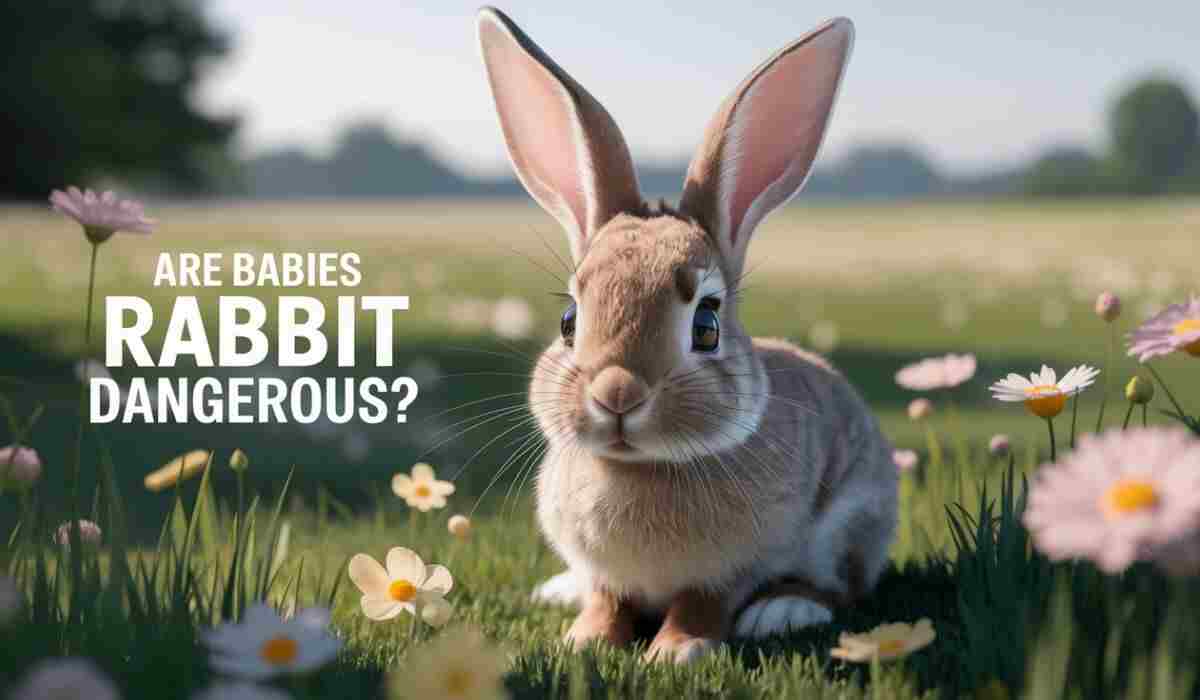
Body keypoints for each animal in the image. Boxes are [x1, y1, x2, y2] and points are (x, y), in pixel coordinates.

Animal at [477, 6, 902, 662]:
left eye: (707, 325)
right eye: (569, 321)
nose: (617, 393)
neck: (639, 467)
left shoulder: (727, 573)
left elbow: (702, 604)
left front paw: (677, 651)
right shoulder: (605, 576)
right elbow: (606, 601)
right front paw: (584, 642)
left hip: (853, 525)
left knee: (838, 586)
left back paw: (782, 610)